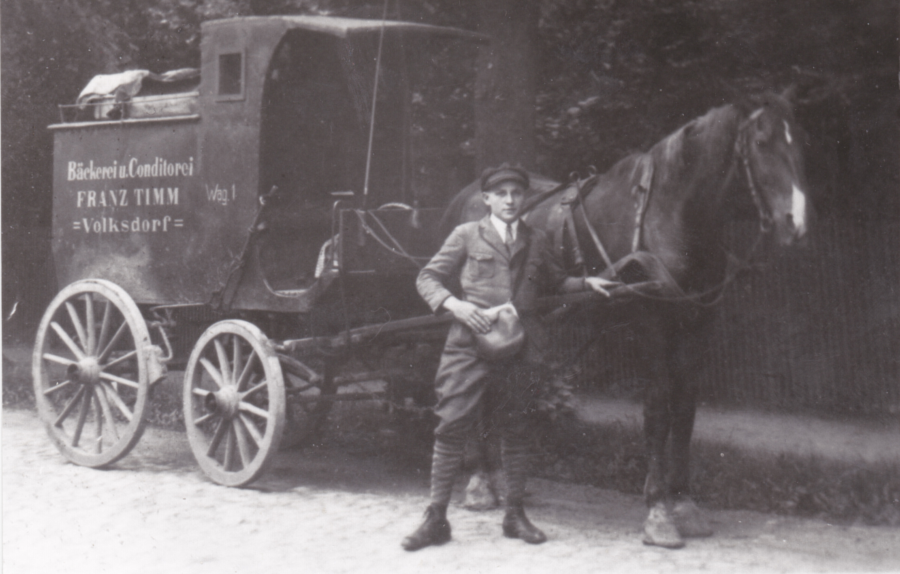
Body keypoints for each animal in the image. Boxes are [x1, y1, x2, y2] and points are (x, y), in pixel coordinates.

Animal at [442, 90, 808, 548]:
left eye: (799, 144)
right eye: (760, 143)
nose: (796, 222)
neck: (668, 215)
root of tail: (467, 194)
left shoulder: (695, 325)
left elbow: (685, 407)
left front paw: (684, 503)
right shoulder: (651, 325)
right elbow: (657, 408)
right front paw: (658, 512)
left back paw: (494, 478)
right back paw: (478, 481)